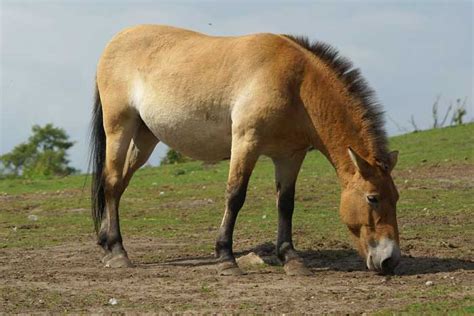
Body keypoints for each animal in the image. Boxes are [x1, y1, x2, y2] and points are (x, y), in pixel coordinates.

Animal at [90, 24, 400, 276]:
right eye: (372, 198)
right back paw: (118, 252)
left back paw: (105, 246)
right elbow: (235, 196)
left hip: (145, 138)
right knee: (112, 182)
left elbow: (286, 203)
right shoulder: (246, 142)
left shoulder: (290, 156)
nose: (390, 260)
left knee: (118, 185)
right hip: (119, 128)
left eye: (396, 197)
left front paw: (291, 259)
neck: (295, 84)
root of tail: (115, 41)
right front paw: (226, 258)